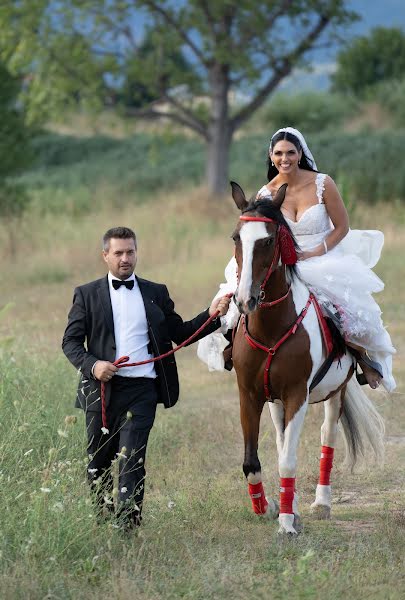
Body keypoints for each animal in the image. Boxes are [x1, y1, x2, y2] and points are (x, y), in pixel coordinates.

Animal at [229, 182, 384, 536]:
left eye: (268, 240)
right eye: (236, 238)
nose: (245, 300)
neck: (272, 327)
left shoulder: (296, 394)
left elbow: (288, 459)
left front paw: (287, 524)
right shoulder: (251, 395)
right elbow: (253, 461)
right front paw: (269, 507)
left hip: (335, 392)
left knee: (328, 436)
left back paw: (321, 503)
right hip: (275, 401)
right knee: (282, 438)